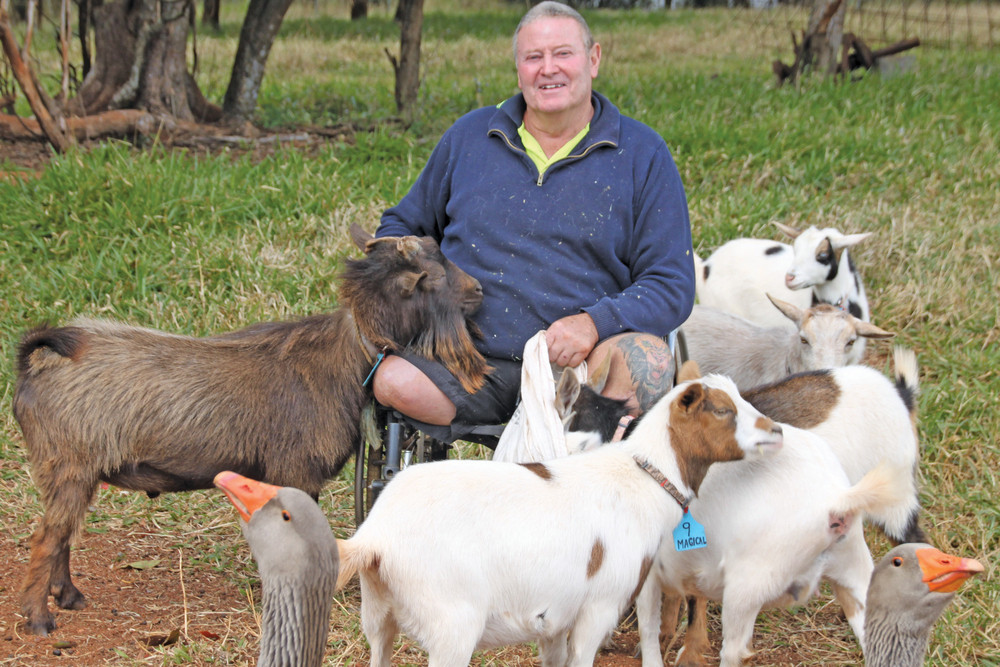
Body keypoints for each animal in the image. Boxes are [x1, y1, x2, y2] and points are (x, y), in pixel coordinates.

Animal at [11, 224, 488, 636]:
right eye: (433, 274)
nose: (479, 291)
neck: (346, 355)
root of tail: (36, 365)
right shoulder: (296, 471)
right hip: (69, 465)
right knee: (46, 537)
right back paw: (39, 619)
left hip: (73, 472)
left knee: (61, 534)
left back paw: (68, 597)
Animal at [336, 376, 780, 667]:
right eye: (722, 410)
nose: (776, 430)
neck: (639, 477)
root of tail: (375, 538)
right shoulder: (598, 608)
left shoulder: (555, 620)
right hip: (452, 624)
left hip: (378, 615)